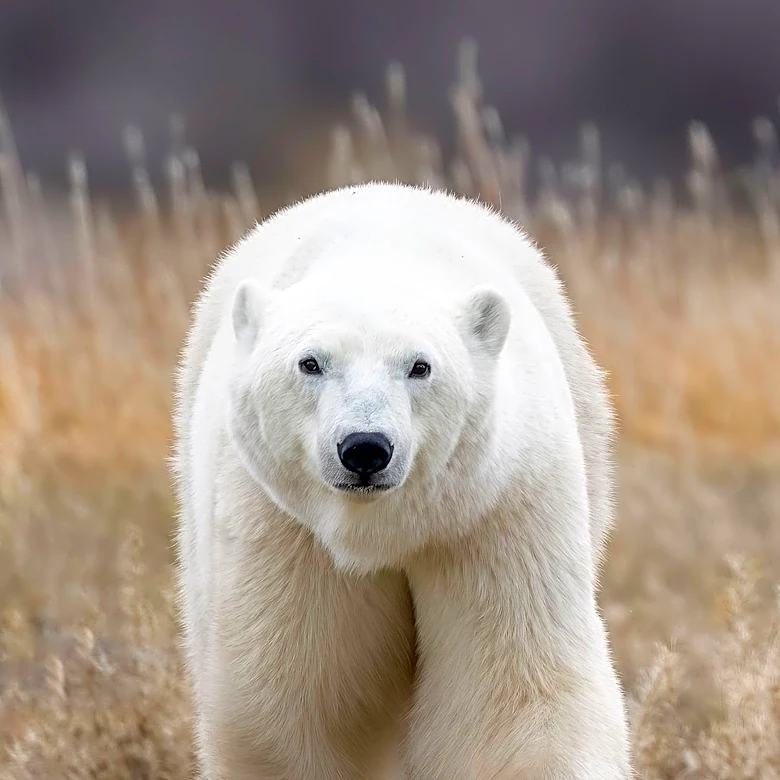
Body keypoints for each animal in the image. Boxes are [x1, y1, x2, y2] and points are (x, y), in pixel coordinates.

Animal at [172, 181, 632, 780]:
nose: (365, 448)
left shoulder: (497, 508)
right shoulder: (282, 524)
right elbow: (293, 704)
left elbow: (516, 697)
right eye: (310, 362)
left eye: (420, 366)